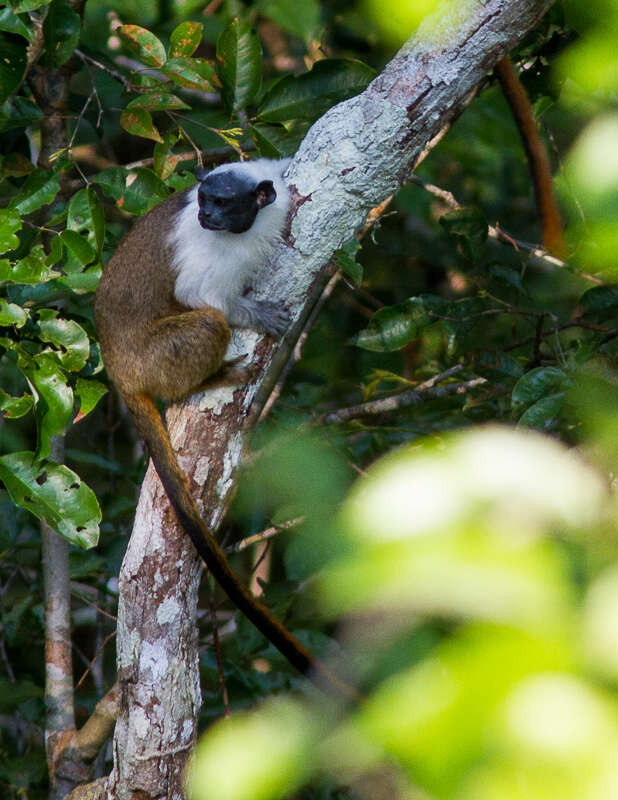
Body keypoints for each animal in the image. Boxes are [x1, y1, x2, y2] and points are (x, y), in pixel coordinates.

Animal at [97, 159, 354, 696]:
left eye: (221, 202)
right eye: (204, 202)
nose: (207, 216)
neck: (247, 228)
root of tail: (119, 368)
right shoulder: (208, 250)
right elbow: (201, 296)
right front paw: (251, 313)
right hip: (155, 358)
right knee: (209, 322)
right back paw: (211, 377)